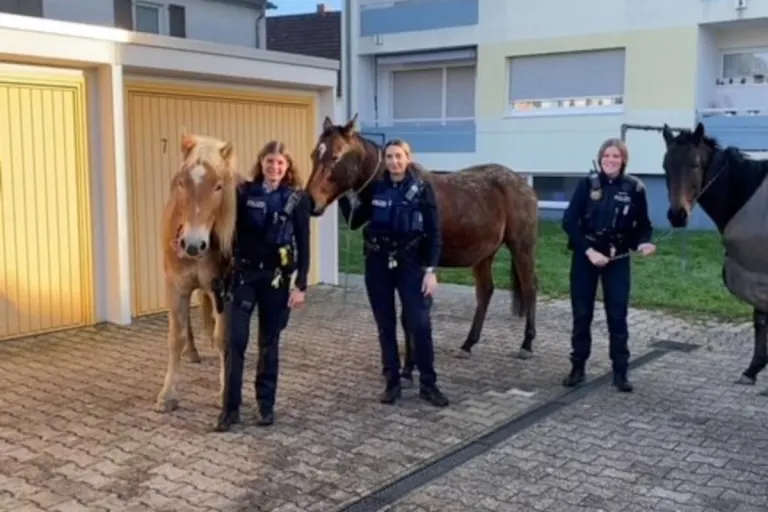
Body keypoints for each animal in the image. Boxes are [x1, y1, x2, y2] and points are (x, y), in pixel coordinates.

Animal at [154, 132, 242, 413]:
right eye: (181, 182)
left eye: (218, 186)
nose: (192, 244)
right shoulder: (176, 286)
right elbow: (176, 337)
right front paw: (167, 395)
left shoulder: (223, 289)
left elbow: (224, 338)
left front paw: (225, 392)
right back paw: (192, 352)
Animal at [305, 114, 539, 378]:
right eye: (314, 154)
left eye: (336, 156)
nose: (310, 201)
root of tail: (523, 184)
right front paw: (410, 365)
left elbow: (410, 316)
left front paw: (410, 367)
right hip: (484, 254)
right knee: (486, 292)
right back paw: (468, 344)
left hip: (522, 246)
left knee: (530, 288)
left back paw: (526, 344)